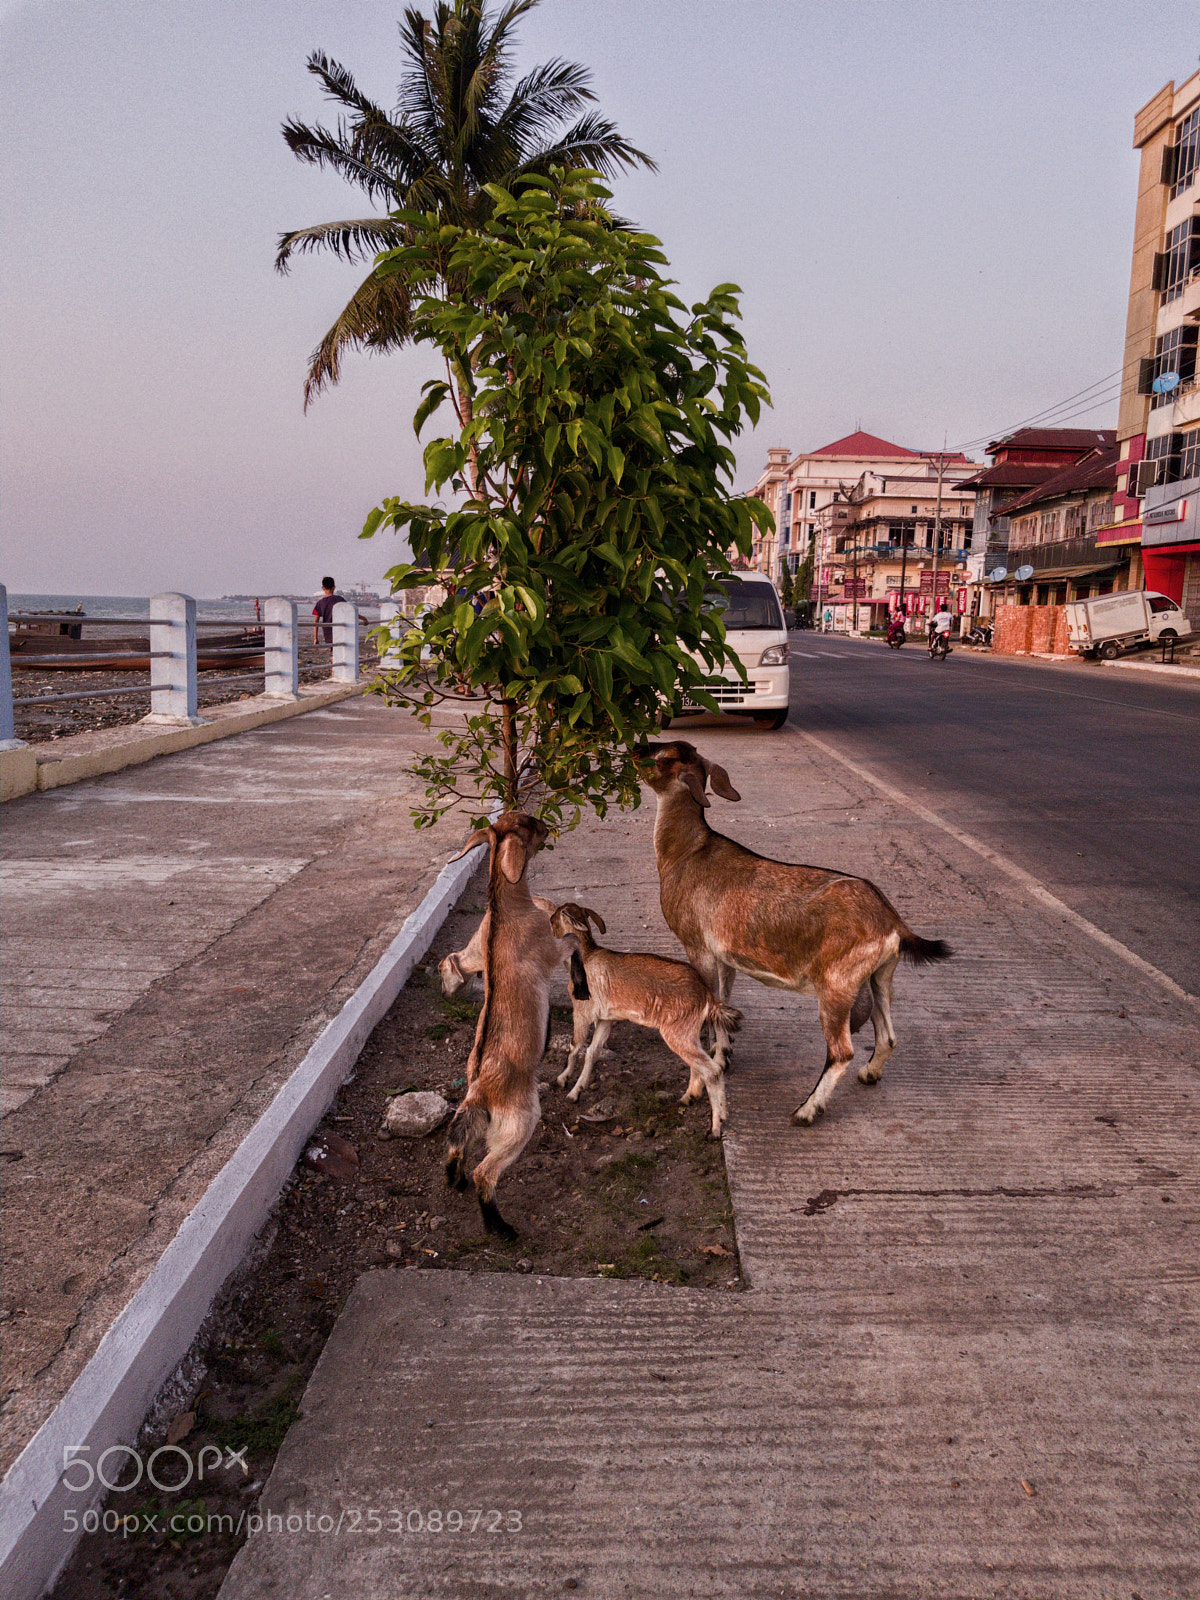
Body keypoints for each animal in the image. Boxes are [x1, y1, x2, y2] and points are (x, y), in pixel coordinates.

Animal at [443, 812, 581, 1238]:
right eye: (530, 824)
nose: (547, 827)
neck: (507, 911)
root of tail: (480, 1093)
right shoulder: (550, 949)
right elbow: (572, 940)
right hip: (519, 1122)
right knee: (485, 1172)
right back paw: (501, 1228)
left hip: (474, 1120)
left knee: (456, 1145)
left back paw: (454, 1181)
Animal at [549, 903, 740, 1138]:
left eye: (553, 919)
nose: (549, 925)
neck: (585, 958)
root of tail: (705, 994)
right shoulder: (606, 1019)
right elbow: (593, 1052)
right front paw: (578, 1090)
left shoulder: (582, 1012)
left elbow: (575, 1048)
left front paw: (564, 1082)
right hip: (688, 1031)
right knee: (699, 1063)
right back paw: (689, 1098)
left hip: (676, 1032)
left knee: (712, 1070)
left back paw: (715, 1127)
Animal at [640, 740, 951, 1126]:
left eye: (663, 758)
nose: (635, 750)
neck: (687, 852)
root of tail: (892, 923)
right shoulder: (724, 955)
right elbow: (723, 1002)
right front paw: (723, 1054)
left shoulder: (697, 946)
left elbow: (706, 1013)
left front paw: (693, 1089)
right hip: (879, 975)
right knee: (888, 1034)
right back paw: (869, 1074)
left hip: (836, 985)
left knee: (841, 1051)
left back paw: (806, 1110)